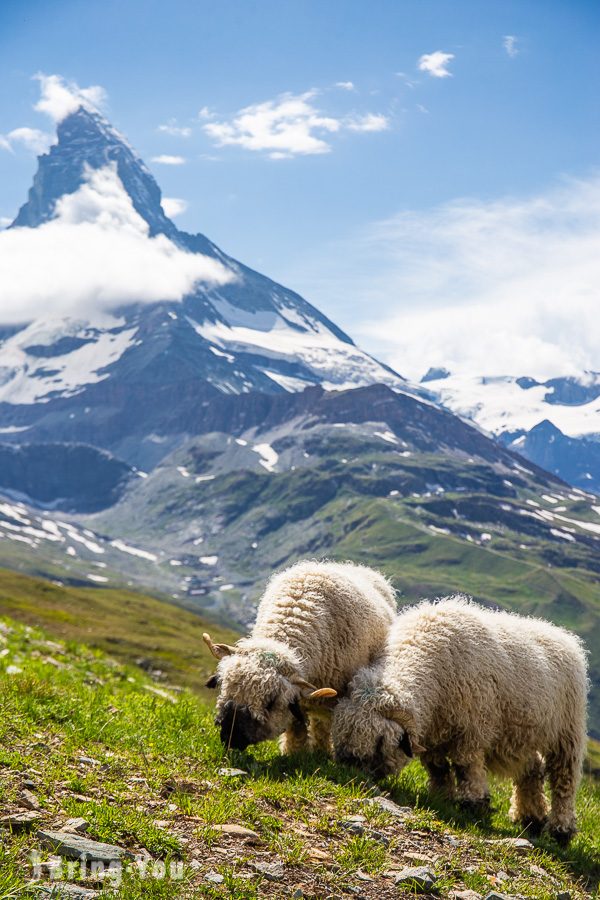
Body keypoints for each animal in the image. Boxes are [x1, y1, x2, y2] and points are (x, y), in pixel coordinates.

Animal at [205, 560, 398, 756]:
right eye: (224, 688)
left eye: (270, 703)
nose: (230, 739)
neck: (297, 612)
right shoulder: (298, 699)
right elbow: (296, 729)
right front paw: (293, 753)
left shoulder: (331, 700)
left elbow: (323, 726)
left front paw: (320, 753)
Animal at [330, 596, 588, 844]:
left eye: (377, 743)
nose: (352, 776)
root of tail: (563, 635)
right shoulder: (434, 733)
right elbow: (437, 768)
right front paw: (442, 797)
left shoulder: (472, 730)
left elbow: (466, 766)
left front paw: (473, 804)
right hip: (521, 734)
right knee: (532, 770)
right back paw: (531, 818)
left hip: (567, 733)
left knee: (564, 781)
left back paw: (561, 831)